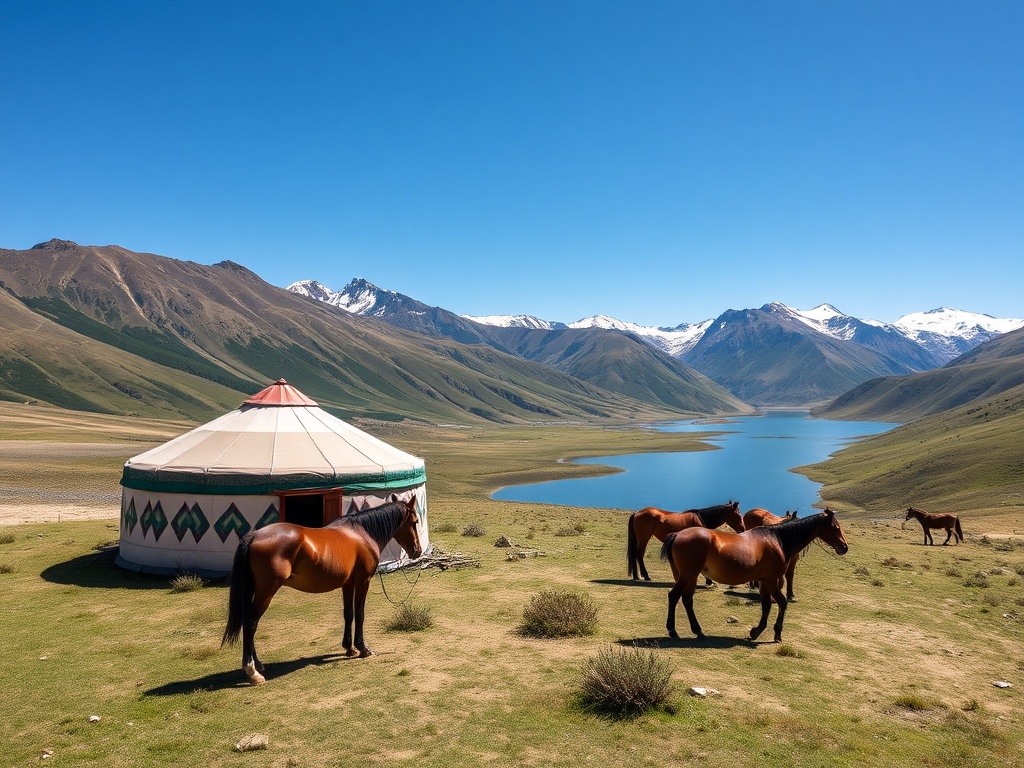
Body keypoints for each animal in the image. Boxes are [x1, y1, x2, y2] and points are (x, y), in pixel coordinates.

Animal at [222, 495, 422, 685]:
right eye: (414, 522)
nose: (417, 551)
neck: (362, 534)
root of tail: (254, 536)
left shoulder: (348, 585)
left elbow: (348, 614)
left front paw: (349, 648)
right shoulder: (362, 581)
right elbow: (360, 613)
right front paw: (363, 648)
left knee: (249, 623)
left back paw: (258, 664)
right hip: (266, 591)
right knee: (250, 622)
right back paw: (252, 671)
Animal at [660, 509, 848, 643]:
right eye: (835, 527)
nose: (844, 547)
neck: (777, 539)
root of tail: (678, 535)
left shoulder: (764, 583)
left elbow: (766, 606)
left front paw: (756, 631)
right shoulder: (772, 581)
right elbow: (782, 603)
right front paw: (776, 633)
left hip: (690, 576)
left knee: (687, 599)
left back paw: (698, 631)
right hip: (687, 575)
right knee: (674, 596)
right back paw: (673, 631)